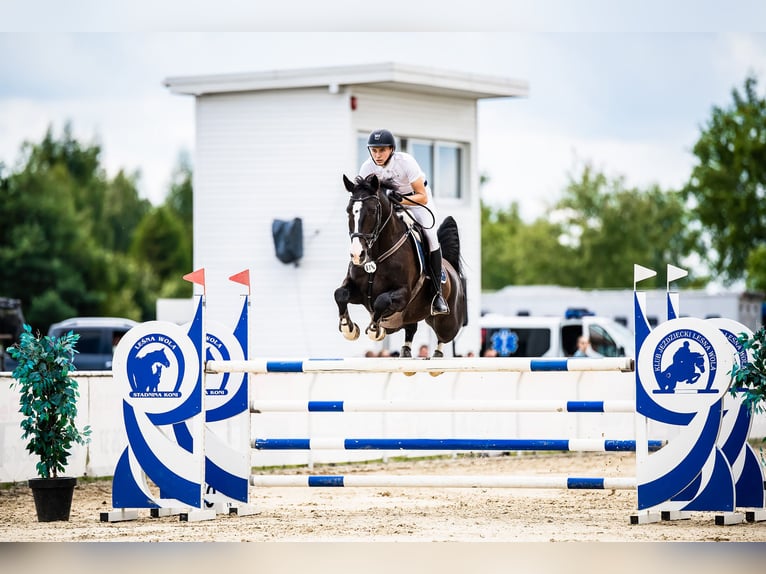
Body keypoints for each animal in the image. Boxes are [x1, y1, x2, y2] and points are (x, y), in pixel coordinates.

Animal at [334, 173, 468, 358]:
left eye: (373, 210)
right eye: (348, 211)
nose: (357, 255)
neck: (376, 256)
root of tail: (452, 269)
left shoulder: (403, 294)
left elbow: (381, 301)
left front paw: (375, 330)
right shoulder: (357, 291)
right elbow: (340, 294)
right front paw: (349, 328)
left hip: (448, 320)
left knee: (444, 336)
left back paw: (437, 353)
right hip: (412, 315)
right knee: (411, 327)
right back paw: (405, 350)